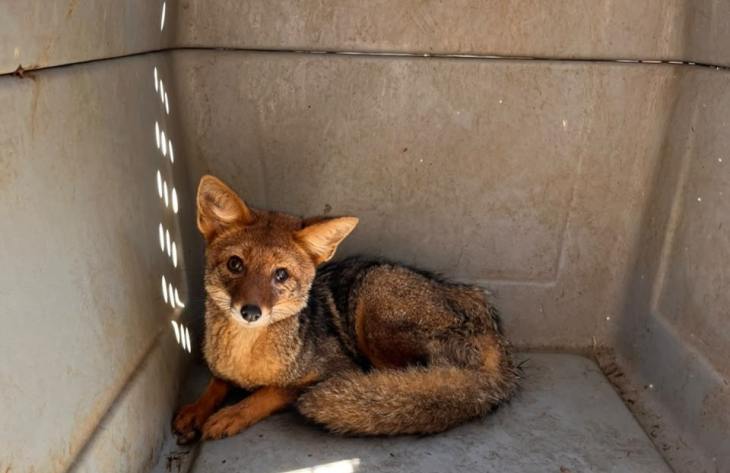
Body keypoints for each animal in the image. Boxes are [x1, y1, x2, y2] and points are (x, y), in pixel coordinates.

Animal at [172, 175, 518, 443]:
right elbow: (217, 381)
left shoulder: (333, 369)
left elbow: (271, 391)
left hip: (372, 300)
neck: (245, 357)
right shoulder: (222, 367)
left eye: (281, 275)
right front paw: (196, 409)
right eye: (235, 264)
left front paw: (232, 413)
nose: (251, 312)